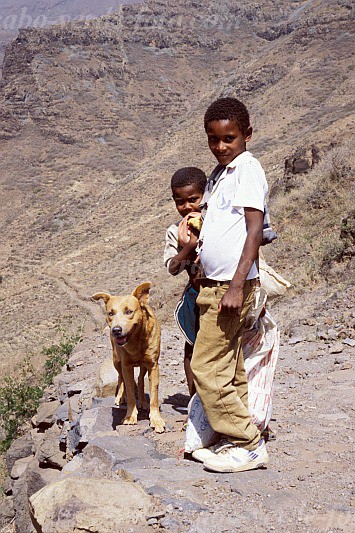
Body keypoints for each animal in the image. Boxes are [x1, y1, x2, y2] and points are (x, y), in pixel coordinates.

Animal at [91, 282, 165, 432]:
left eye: (129, 312)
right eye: (111, 313)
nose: (116, 330)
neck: (135, 341)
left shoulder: (153, 365)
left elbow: (154, 395)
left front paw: (156, 419)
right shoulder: (126, 365)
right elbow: (130, 391)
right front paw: (130, 416)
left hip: (143, 366)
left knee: (141, 379)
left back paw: (142, 401)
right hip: (116, 360)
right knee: (121, 379)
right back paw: (120, 397)